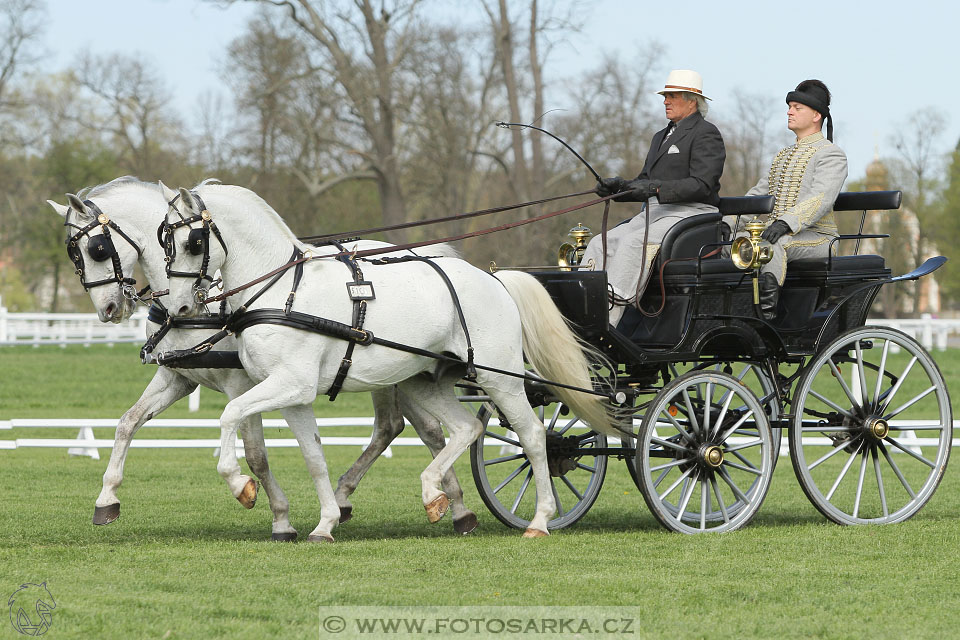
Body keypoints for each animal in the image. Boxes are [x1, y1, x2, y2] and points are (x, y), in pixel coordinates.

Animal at [46, 176, 480, 540]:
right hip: (396, 373)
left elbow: (255, 454)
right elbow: (127, 423)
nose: (108, 309)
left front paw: (274, 513)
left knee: (418, 429)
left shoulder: (242, 383)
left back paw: (447, 504)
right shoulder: (179, 377)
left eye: (96, 249)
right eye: (74, 254)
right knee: (411, 428)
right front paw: (107, 499)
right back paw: (435, 504)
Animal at [159, 181, 616, 540]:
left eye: (192, 243)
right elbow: (313, 455)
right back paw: (433, 494)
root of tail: (494, 277)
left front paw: (240, 485)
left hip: (499, 379)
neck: (283, 290)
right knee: (464, 429)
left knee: (533, 437)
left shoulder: (291, 384)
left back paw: (539, 519)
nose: (180, 307)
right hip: (424, 382)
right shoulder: (292, 394)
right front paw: (325, 523)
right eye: (165, 244)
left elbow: (230, 414)